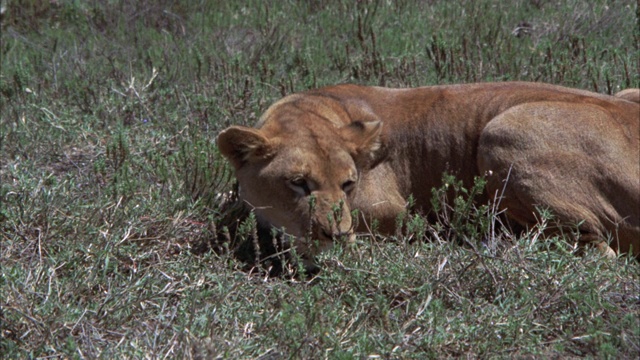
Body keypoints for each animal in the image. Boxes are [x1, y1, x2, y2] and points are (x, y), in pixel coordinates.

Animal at [216, 82, 640, 264]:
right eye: (298, 184)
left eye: (349, 183)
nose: (333, 236)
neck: (315, 106)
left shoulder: (391, 209)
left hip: (502, 130)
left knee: (600, 252)